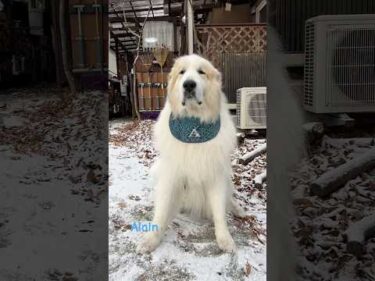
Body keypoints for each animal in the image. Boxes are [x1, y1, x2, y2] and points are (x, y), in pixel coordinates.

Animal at [137, 53, 245, 253]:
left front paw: (224, 238)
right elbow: (162, 210)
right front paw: (151, 239)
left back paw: (238, 209)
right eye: (182, 72)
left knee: (229, 198)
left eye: (201, 72)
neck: (193, 126)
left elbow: (219, 211)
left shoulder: (216, 175)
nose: (189, 85)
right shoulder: (171, 175)